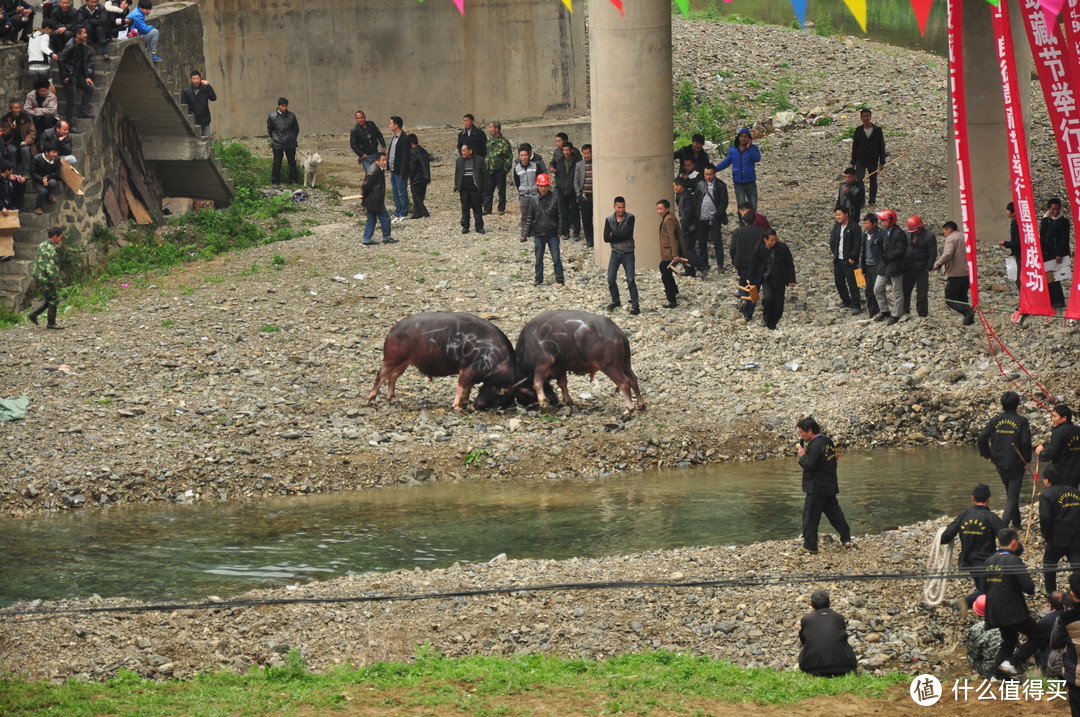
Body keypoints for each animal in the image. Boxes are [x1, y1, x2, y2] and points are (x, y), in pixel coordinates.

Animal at [367, 313, 518, 408]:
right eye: (498, 399)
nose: (476, 406)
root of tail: (393, 329)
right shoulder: (467, 369)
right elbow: (461, 386)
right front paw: (457, 407)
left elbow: (468, 388)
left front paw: (466, 402)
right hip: (392, 359)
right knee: (381, 374)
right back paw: (371, 400)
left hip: (404, 363)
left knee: (393, 377)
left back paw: (392, 399)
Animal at [511, 308, 639, 414]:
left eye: (519, 394)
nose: (554, 400)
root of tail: (618, 333)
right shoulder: (560, 367)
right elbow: (562, 383)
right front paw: (567, 401)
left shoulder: (542, 364)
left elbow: (537, 383)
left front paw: (544, 404)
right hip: (625, 364)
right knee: (633, 379)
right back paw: (641, 404)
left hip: (610, 366)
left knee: (624, 383)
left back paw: (628, 410)